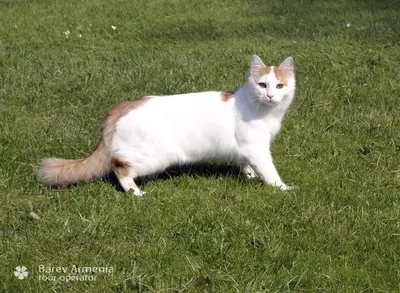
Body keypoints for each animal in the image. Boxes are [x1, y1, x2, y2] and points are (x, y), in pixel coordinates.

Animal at [39, 54, 296, 196]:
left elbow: (247, 165)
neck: (264, 110)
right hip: (153, 157)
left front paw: (250, 176)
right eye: (262, 85)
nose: (271, 96)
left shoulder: (247, 149)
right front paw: (282, 188)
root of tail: (121, 106)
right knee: (119, 167)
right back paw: (135, 193)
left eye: (279, 86)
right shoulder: (256, 148)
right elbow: (269, 171)